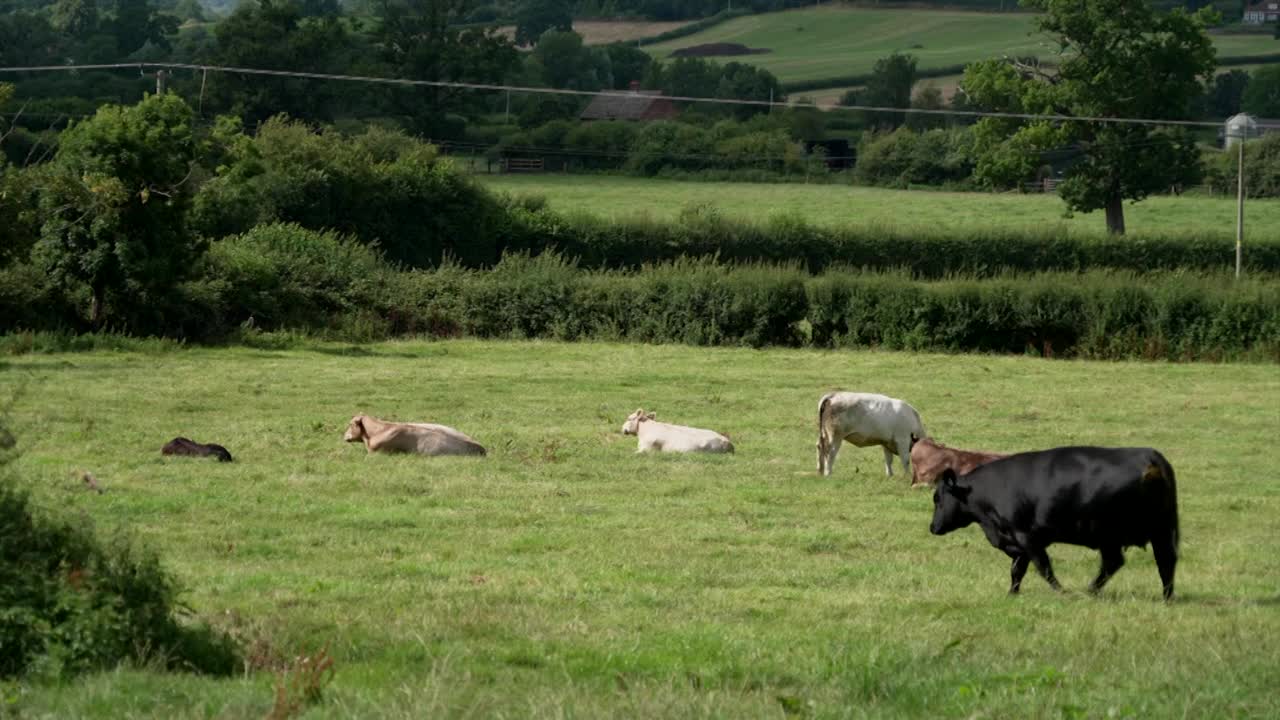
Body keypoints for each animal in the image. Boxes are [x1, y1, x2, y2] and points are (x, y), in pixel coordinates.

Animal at [931, 445, 1177, 597]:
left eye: (937, 498)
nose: (933, 527)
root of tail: (1149, 457)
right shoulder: (1018, 542)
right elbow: (1017, 570)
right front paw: (1012, 594)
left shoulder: (1026, 536)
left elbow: (1043, 567)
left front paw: (1060, 591)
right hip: (1157, 531)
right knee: (1159, 563)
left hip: (1114, 533)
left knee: (1134, 562)